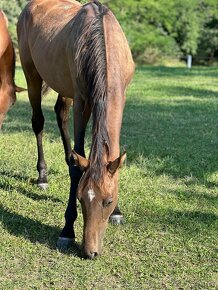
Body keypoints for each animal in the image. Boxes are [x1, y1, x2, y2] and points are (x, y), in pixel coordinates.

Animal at [17, 0, 135, 258]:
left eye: (108, 201)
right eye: (80, 199)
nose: (90, 252)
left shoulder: (120, 97)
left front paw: (118, 212)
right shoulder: (82, 100)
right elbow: (77, 164)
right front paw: (67, 230)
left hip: (64, 88)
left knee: (61, 114)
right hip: (32, 75)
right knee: (38, 122)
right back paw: (42, 176)